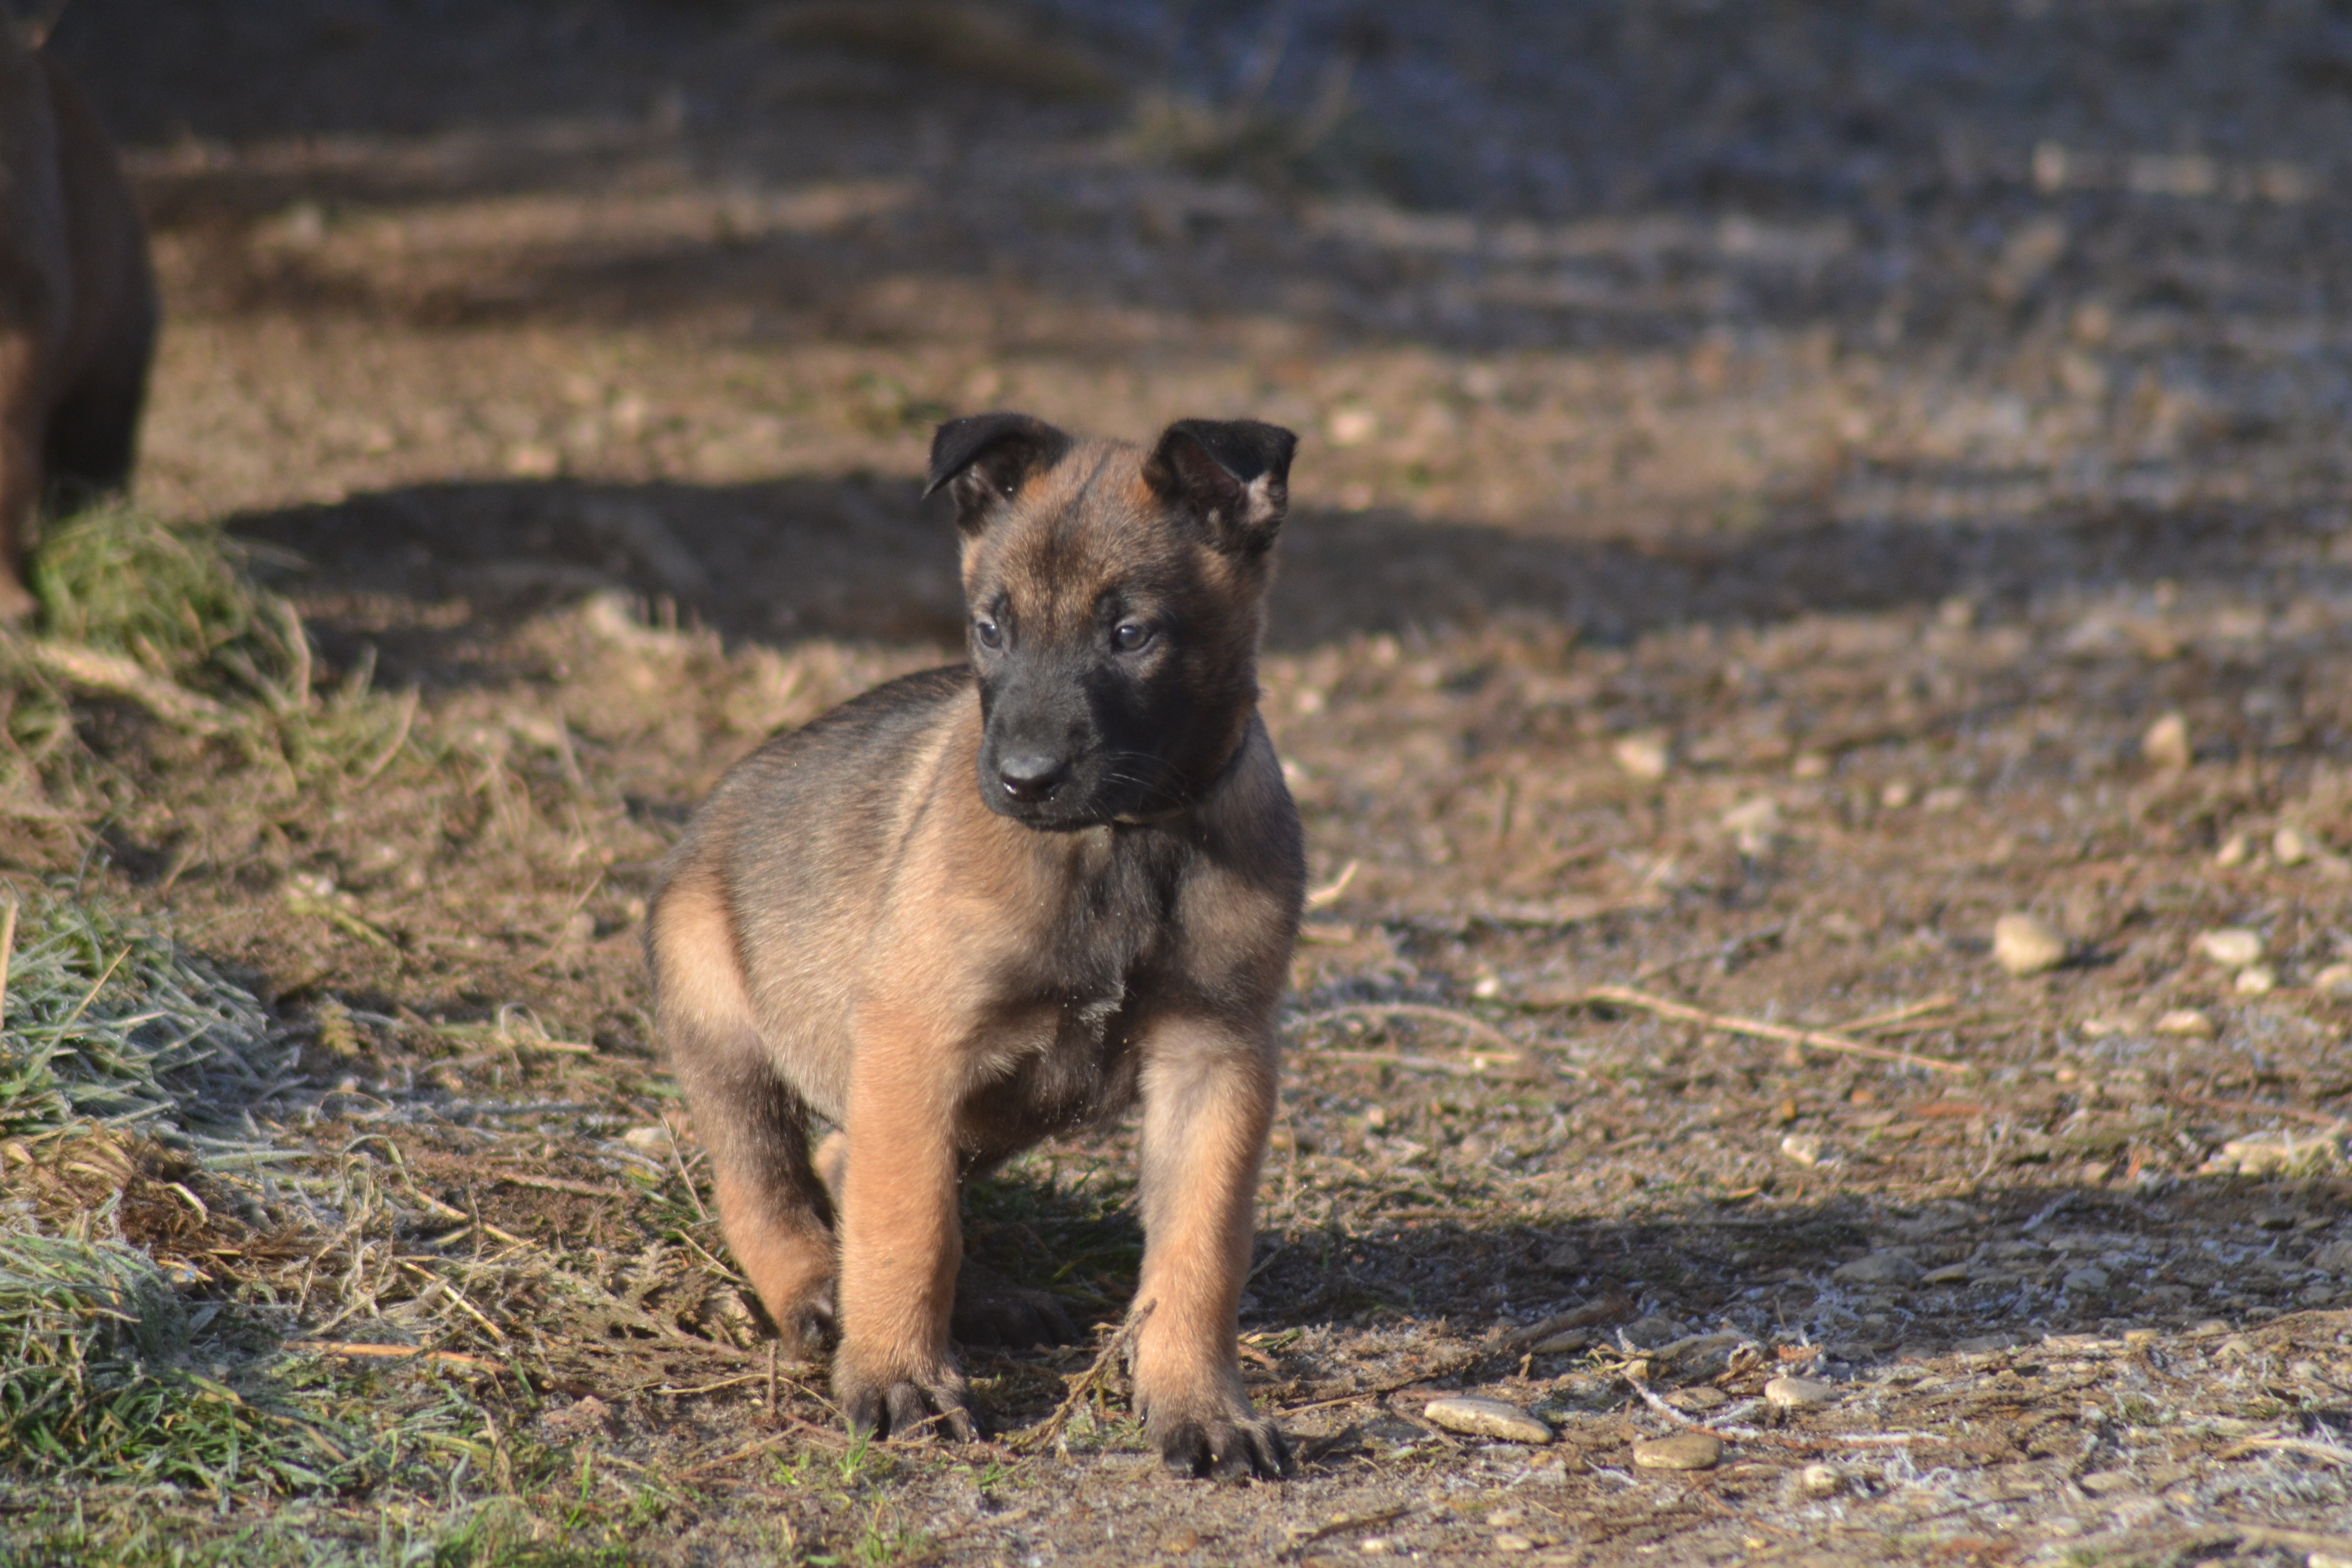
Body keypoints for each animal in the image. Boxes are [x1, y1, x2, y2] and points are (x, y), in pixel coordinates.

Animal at [644, 411, 1308, 1476]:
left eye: (1130, 635)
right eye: (989, 630)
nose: (1022, 779)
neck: (1121, 841)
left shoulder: (1217, 1058)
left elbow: (1198, 1253)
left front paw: (1197, 1404)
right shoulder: (917, 1038)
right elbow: (908, 1227)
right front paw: (899, 1379)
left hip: (999, 1100)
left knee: (850, 1158)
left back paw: (978, 1299)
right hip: (727, 1018)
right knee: (770, 1183)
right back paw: (823, 1291)